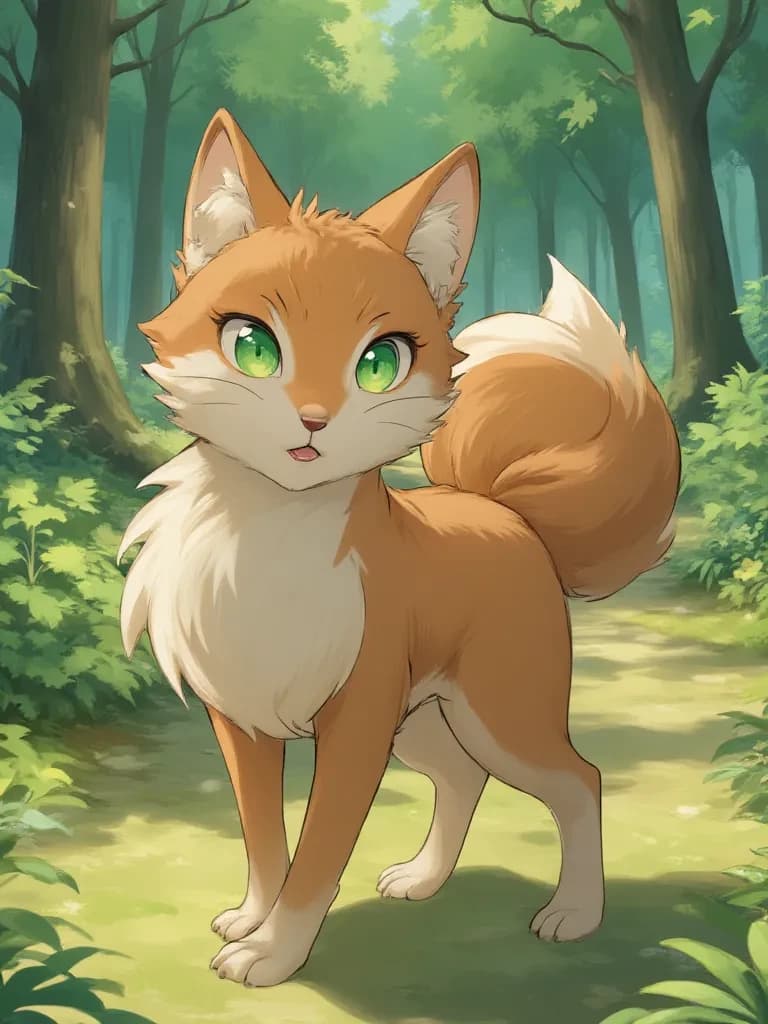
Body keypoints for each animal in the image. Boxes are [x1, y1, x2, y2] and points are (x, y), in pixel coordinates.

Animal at [118, 108, 681, 989]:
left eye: (380, 363)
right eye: (254, 347)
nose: (314, 421)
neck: (269, 546)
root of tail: (506, 512)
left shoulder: (355, 726)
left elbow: (316, 858)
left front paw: (274, 955)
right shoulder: (243, 722)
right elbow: (264, 842)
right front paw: (252, 918)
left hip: (494, 713)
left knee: (579, 781)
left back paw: (576, 914)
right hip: (425, 719)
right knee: (464, 778)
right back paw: (424, 878)